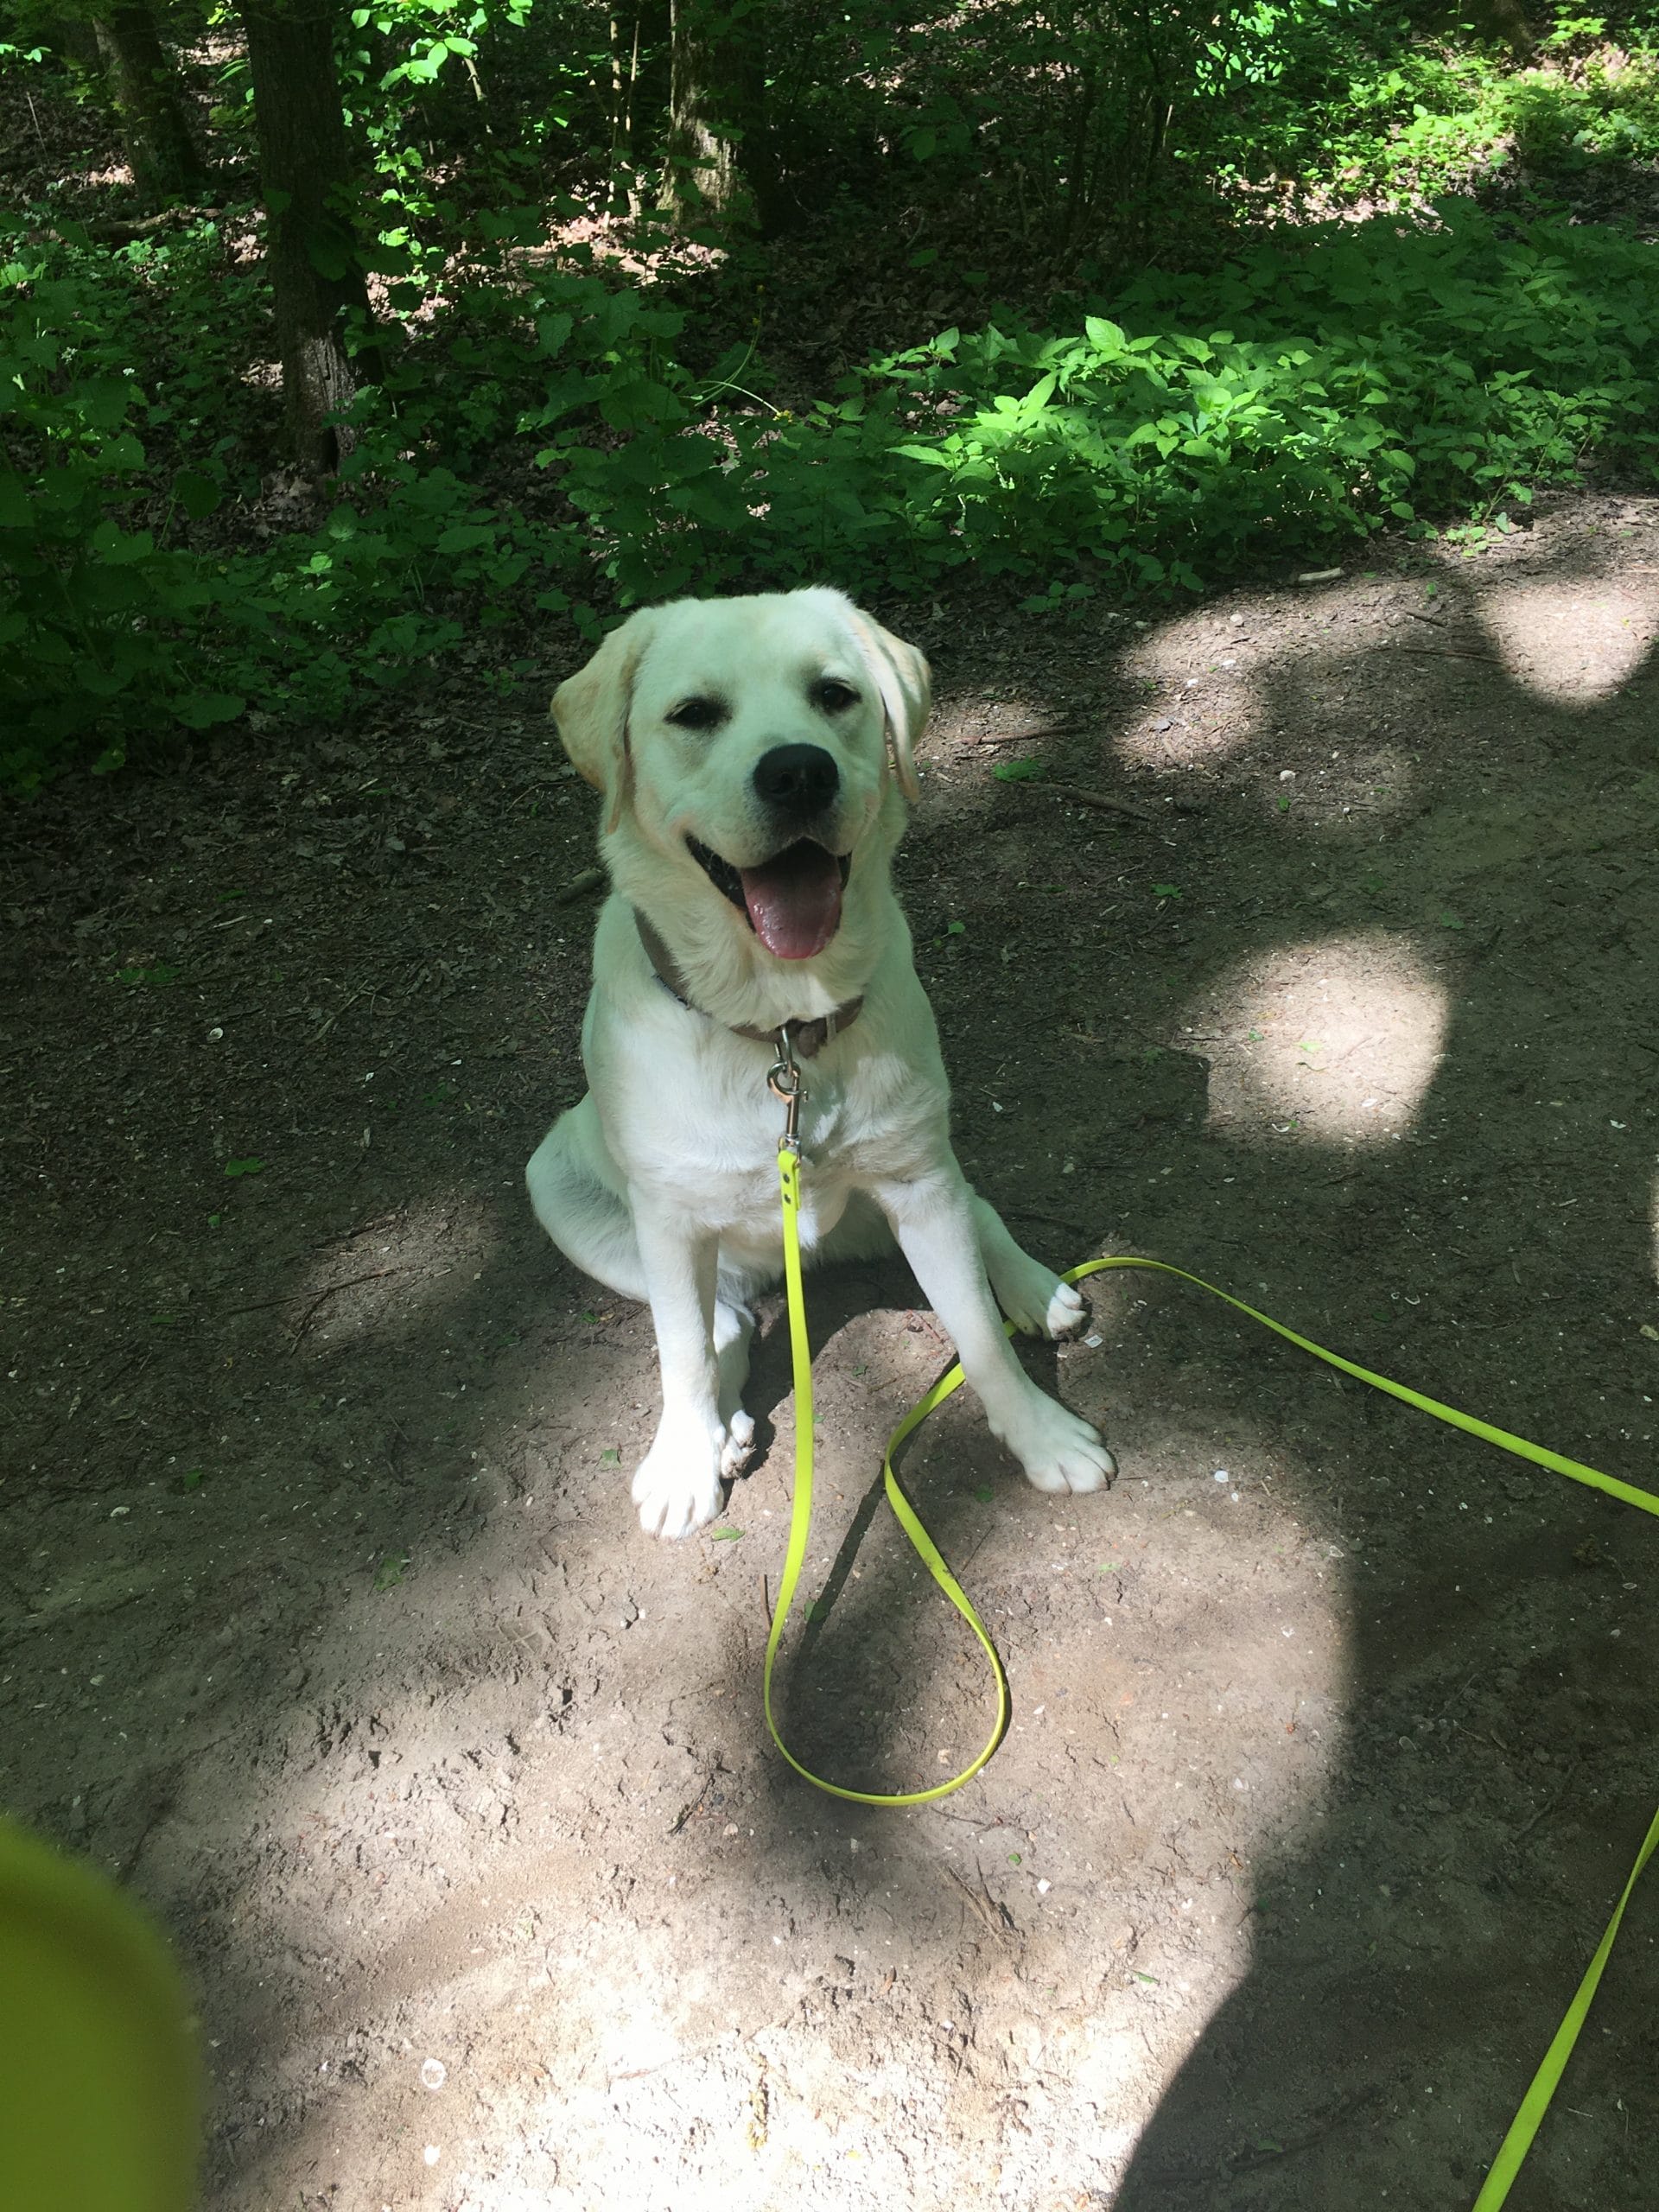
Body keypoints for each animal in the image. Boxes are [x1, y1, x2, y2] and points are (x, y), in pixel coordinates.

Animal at [528, 579, 1119, 1530]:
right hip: (566, 1191)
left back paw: (1035, 1287)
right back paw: (724, 1429)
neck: (779, 1024)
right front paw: (685, 1463)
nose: (798, 771)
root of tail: (792, 1265)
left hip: (917, 1179)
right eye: (694, 713)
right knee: (723, 1326)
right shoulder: (668, 1222)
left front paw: (1042, 1434)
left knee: (982, 1210)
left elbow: (980, 1338)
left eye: (835, 694)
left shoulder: (919, 1184)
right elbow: (683, 1352)